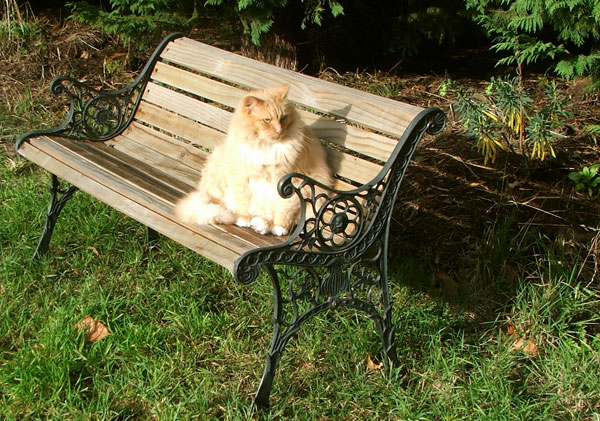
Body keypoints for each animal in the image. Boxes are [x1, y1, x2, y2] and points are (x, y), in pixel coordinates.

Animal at [173, 83, 332, 235]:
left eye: (283, 118)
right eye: (267, 120)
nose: (279, 131)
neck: (266, 146)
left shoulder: (291, 184)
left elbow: (284, 211)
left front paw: (279, 228)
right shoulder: (241, 178)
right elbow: (243, 204)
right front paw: (243, 219)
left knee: (265, 216)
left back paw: (260, 227)